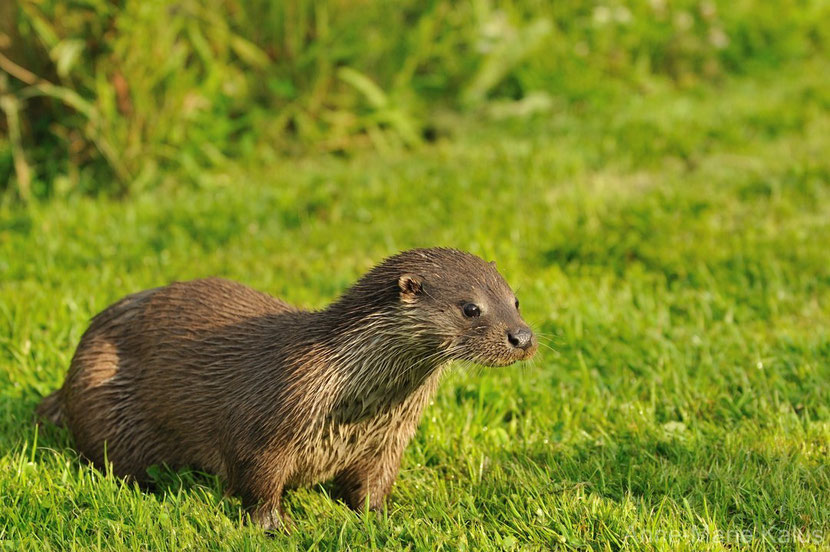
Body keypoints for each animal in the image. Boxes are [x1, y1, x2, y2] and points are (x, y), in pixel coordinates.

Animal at [37, 247, 540, 532]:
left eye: (515, 300)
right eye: (471, 308)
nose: (522, 337)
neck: (351, 397)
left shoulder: (388, 440)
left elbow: (373, 485)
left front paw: (385, 522)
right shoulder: (263, 430)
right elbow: (257, 483)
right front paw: (275, 528)